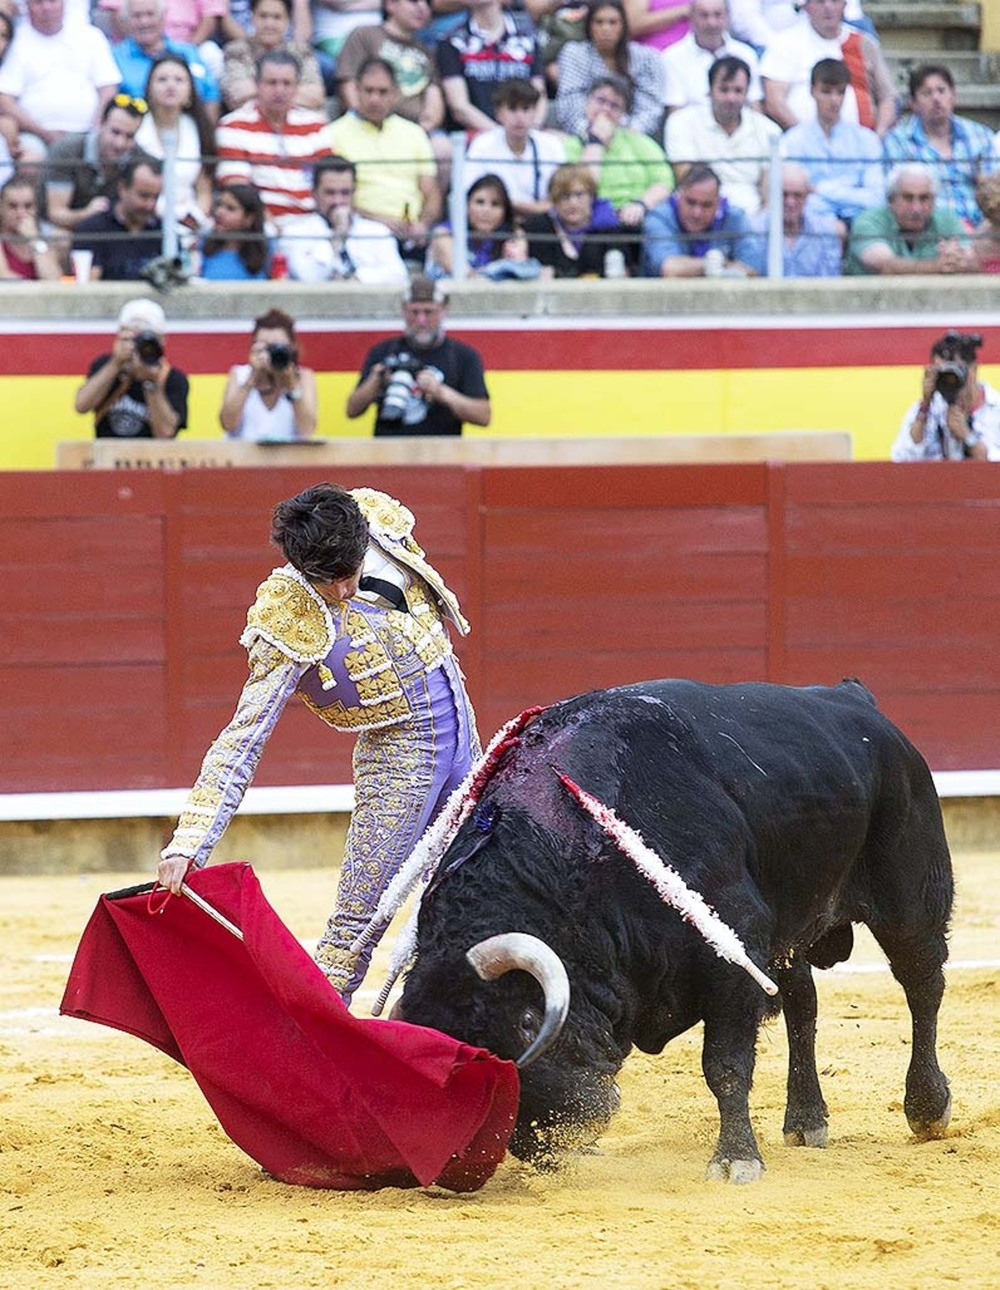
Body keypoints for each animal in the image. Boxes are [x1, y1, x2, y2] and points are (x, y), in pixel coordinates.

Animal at [400, 681, 954, 1181]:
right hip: (790, 925)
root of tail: (854, 697)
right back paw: (805, 1120)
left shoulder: (736, 954)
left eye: (524, 1026)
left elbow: (725, 1066)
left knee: (921, 985)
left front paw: (736, 1160)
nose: (547, 1143)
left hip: (911, 896)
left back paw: (927, 1109)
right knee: (804, 1003)